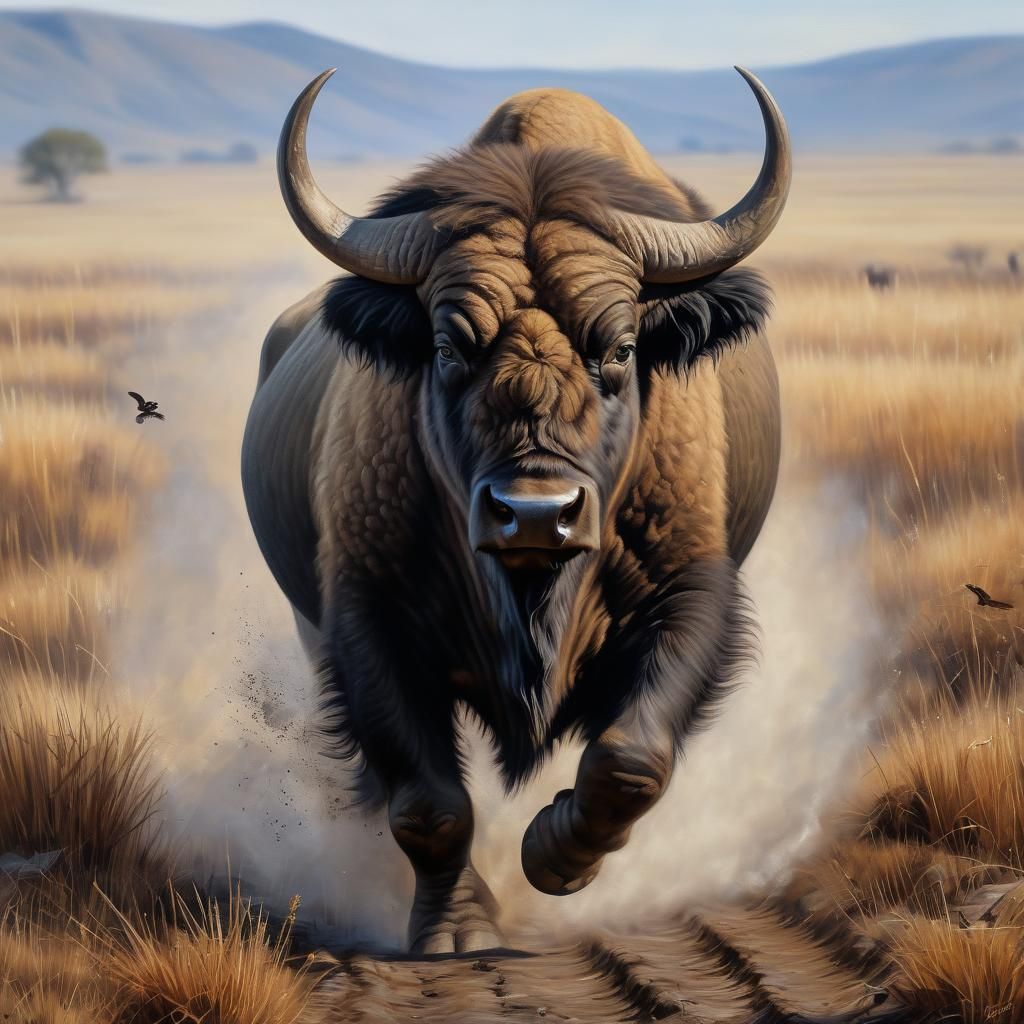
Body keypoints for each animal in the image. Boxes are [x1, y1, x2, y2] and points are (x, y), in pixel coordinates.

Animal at [242, 68, 790, 953]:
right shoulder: (368, 621)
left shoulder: (689, 595)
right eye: (447, 347)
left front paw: (553, 857)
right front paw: (460, 930)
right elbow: (429, 803)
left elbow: (630, 759)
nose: (534, 515)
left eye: (621, 349)